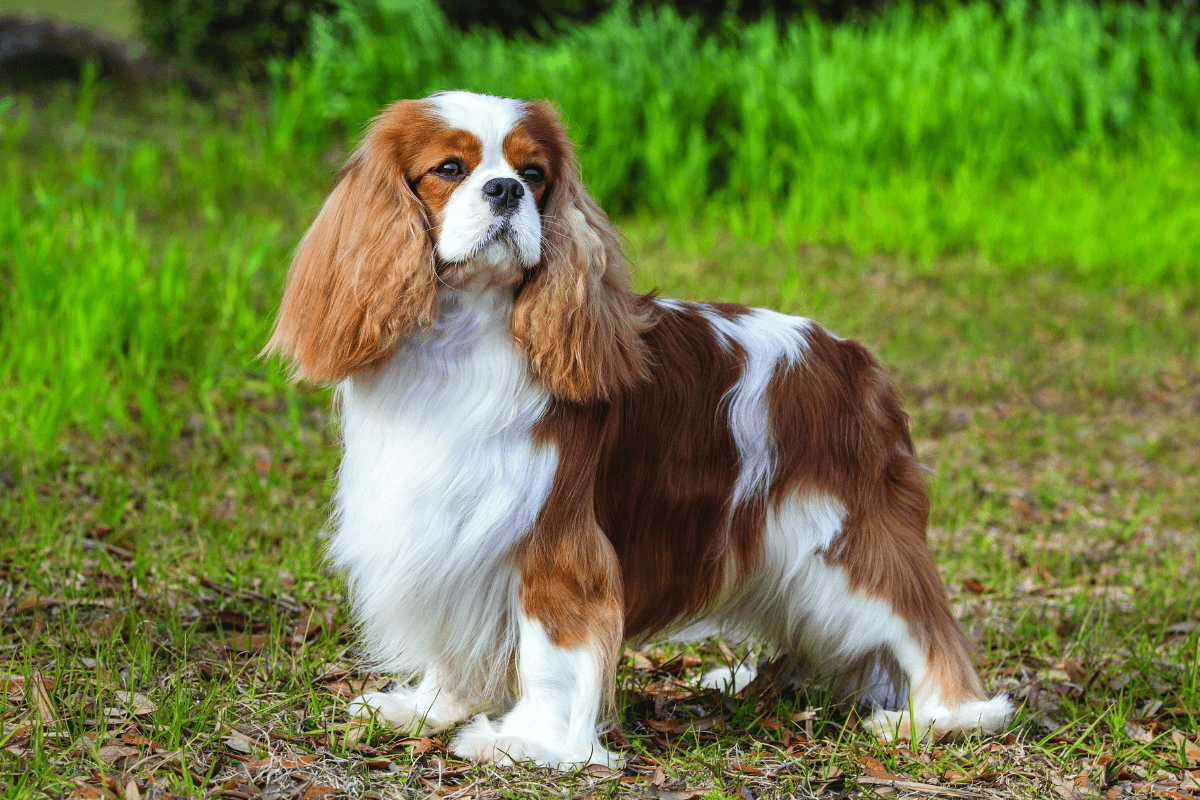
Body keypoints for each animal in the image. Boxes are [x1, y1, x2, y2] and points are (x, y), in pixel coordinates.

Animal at [265, 89, 1012, 767]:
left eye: (535, 174)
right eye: (449, 168)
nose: (507, 189)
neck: (462, 335)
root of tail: (855, 358)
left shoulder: (554, 538)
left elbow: (552, 648)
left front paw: (528, 742)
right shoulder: (444, 525)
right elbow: (453, 639)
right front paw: (429, 707)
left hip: (843, 540)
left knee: (924, 626)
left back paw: (935, 717)